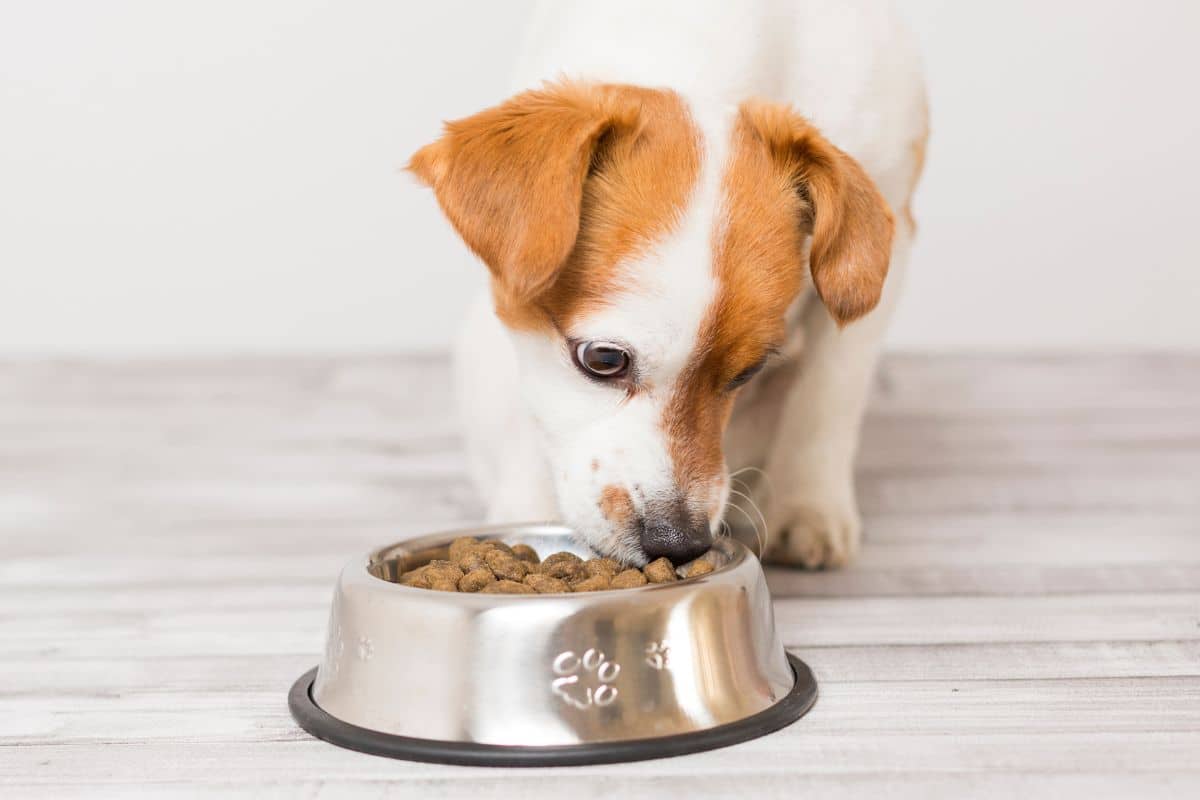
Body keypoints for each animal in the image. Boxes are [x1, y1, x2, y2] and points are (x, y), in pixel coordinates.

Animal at [412, 0, 926, 568]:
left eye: (749, 371)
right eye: (603, 359)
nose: (677, 543)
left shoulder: (886, 238)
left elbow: (829, 392)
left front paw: (808, 506)